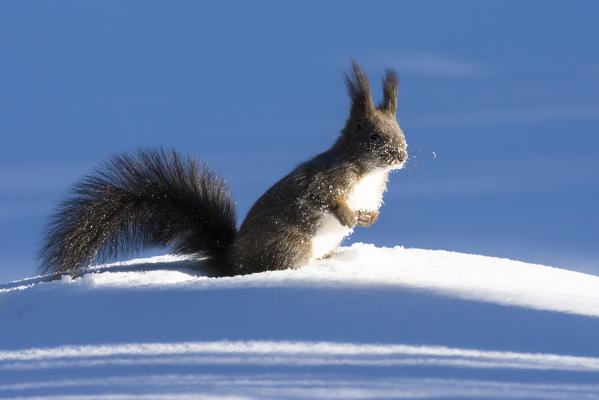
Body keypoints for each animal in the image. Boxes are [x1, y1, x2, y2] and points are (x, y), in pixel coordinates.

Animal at [39, 62, 410, 276]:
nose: (402, 156)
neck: (367, 171)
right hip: (292, 245)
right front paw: (347, 216)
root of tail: (233, 259)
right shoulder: (327, 178)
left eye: (401, 131)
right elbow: (321, 197)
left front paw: (367, 219)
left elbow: (370, 209)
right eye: (375, 136)